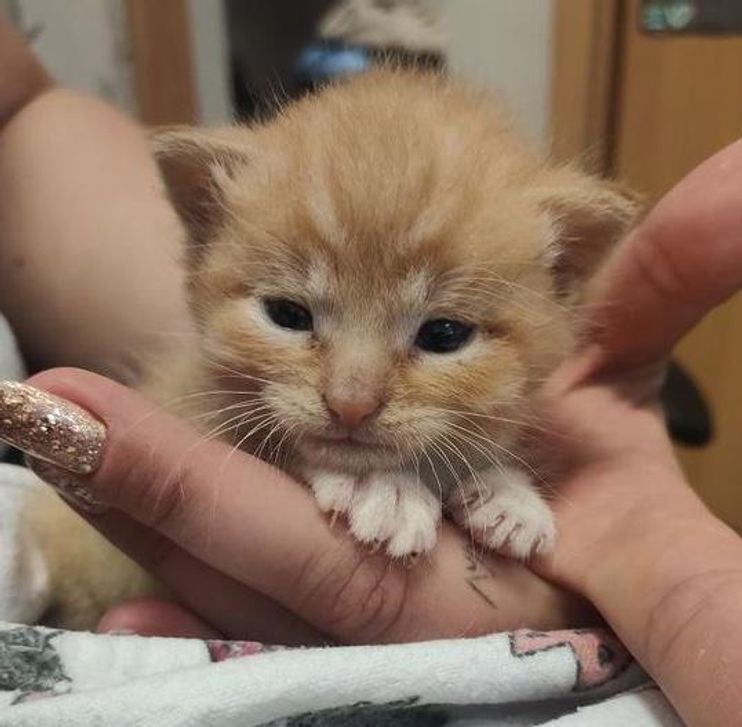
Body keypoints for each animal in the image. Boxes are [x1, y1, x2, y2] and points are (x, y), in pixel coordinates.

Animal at [24, 69, 640, 632]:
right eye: (288, 315)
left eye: (444, 335)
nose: (351, 405)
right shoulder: (189, 402)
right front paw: (383, 488)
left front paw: (508, 494)